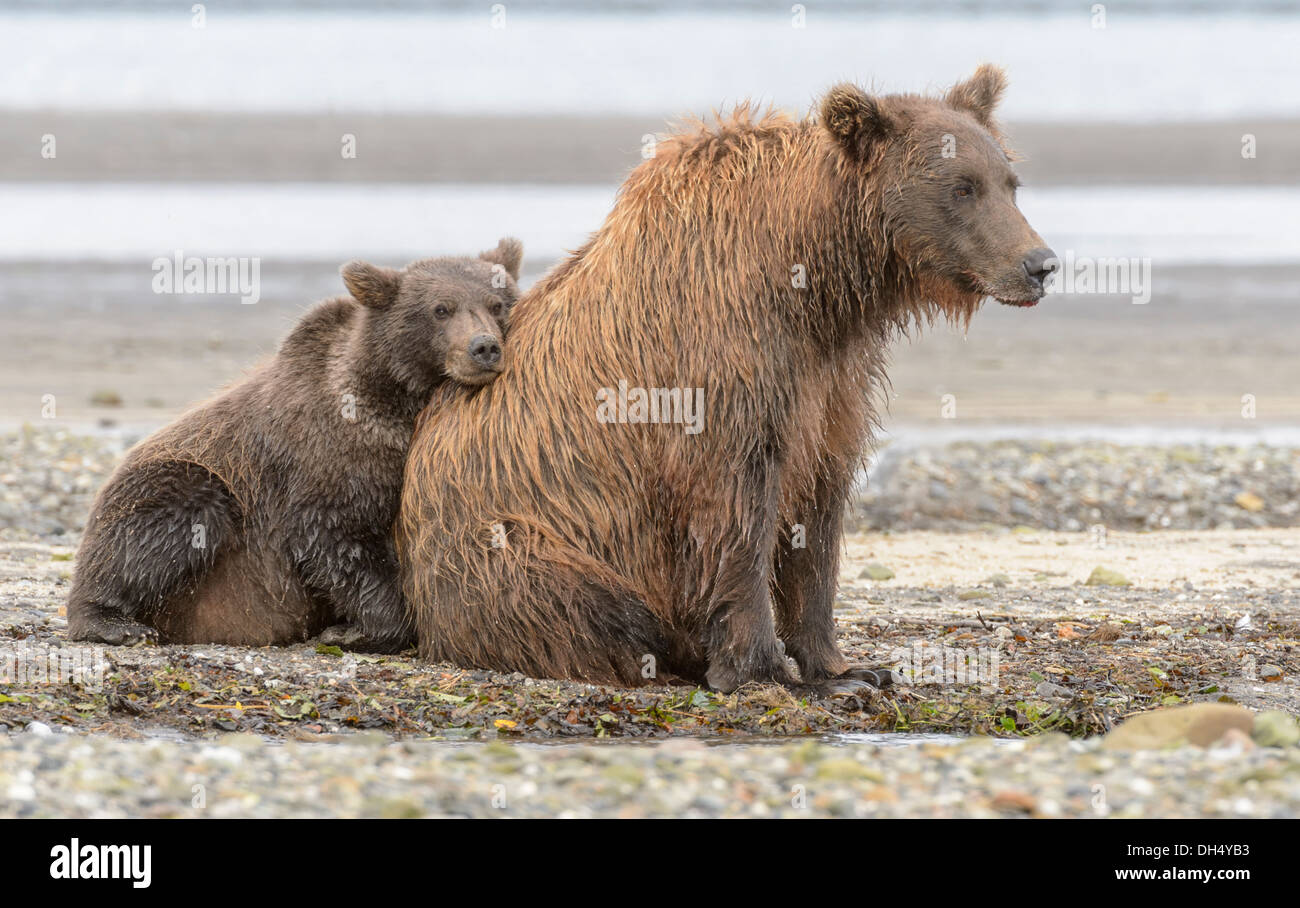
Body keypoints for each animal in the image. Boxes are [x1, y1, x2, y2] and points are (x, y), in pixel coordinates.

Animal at [66, 238, 523, 652]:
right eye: (441, 309)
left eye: (497, 303)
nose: (484, 347)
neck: (397, 402)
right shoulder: (326, 456)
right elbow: (332, 536)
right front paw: (355, 630)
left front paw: (347, 628)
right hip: (179, 484)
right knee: (166, 524)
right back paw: (114, 623)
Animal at [396, 66, 1056, 691]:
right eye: (961, 186)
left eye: (1009, 182)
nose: (1041, 264)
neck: (816, 284)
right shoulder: (720, 364)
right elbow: (734, 510)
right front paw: (763, 668)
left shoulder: (832, 381)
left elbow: (819, 513)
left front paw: (845, 667)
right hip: (513, 538)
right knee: (580, 600)